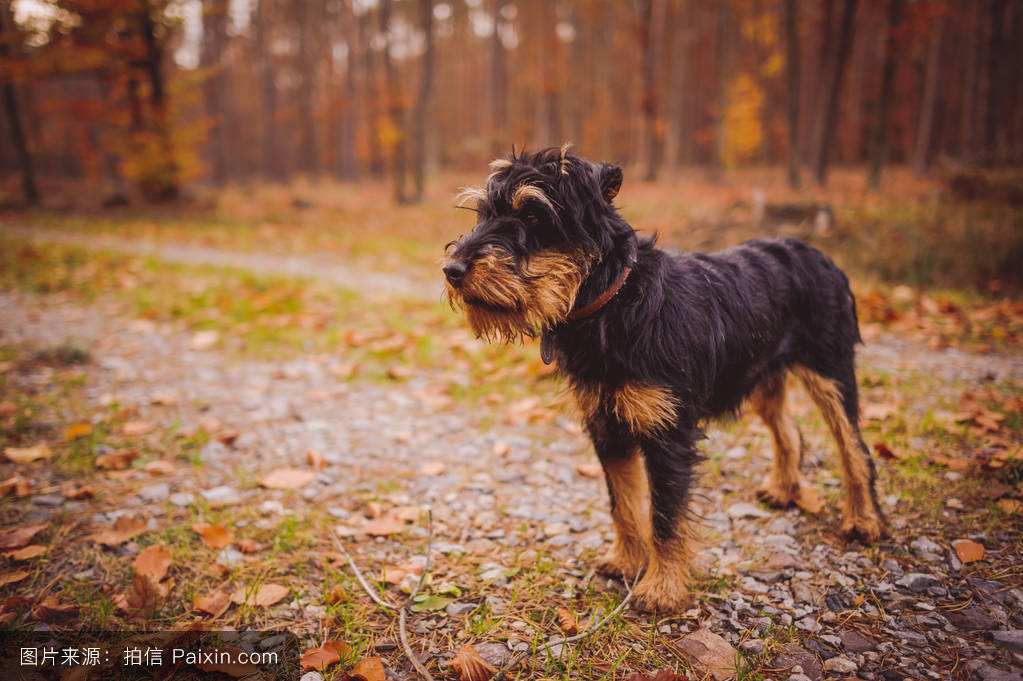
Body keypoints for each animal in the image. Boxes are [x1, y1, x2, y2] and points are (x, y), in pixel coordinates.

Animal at [443, 146, 883, 605]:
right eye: (483, 213)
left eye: (531, 214)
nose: (452, 268)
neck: (614, 304)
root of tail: (821, 256)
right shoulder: (607, 429)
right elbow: (623, 503)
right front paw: (626, 561)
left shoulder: (668, 434)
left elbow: (665, 515)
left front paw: (662, 588)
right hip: (762, 375)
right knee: (787, 430)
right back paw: (783, 489)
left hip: (830, 373)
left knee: (855, 448)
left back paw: (863, 520)